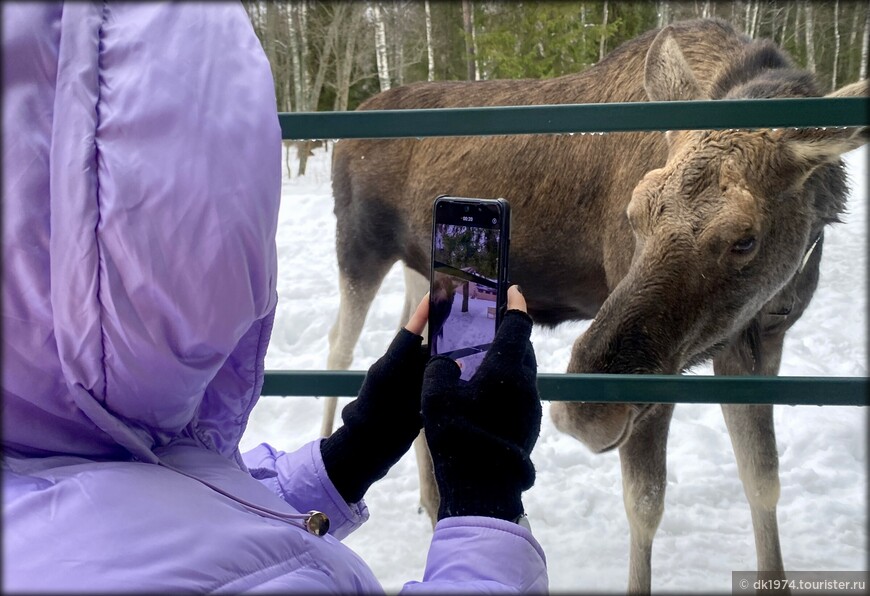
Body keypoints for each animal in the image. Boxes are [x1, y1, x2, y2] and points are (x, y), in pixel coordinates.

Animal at [324, 17, 868, 592]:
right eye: (635, 211)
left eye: (746, 238)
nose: (586, 411)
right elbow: (645, 504)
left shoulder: (758, 341)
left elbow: (762, 479)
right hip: (359, 248)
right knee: (339, 344)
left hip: (418, 271)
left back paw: (429, 502)